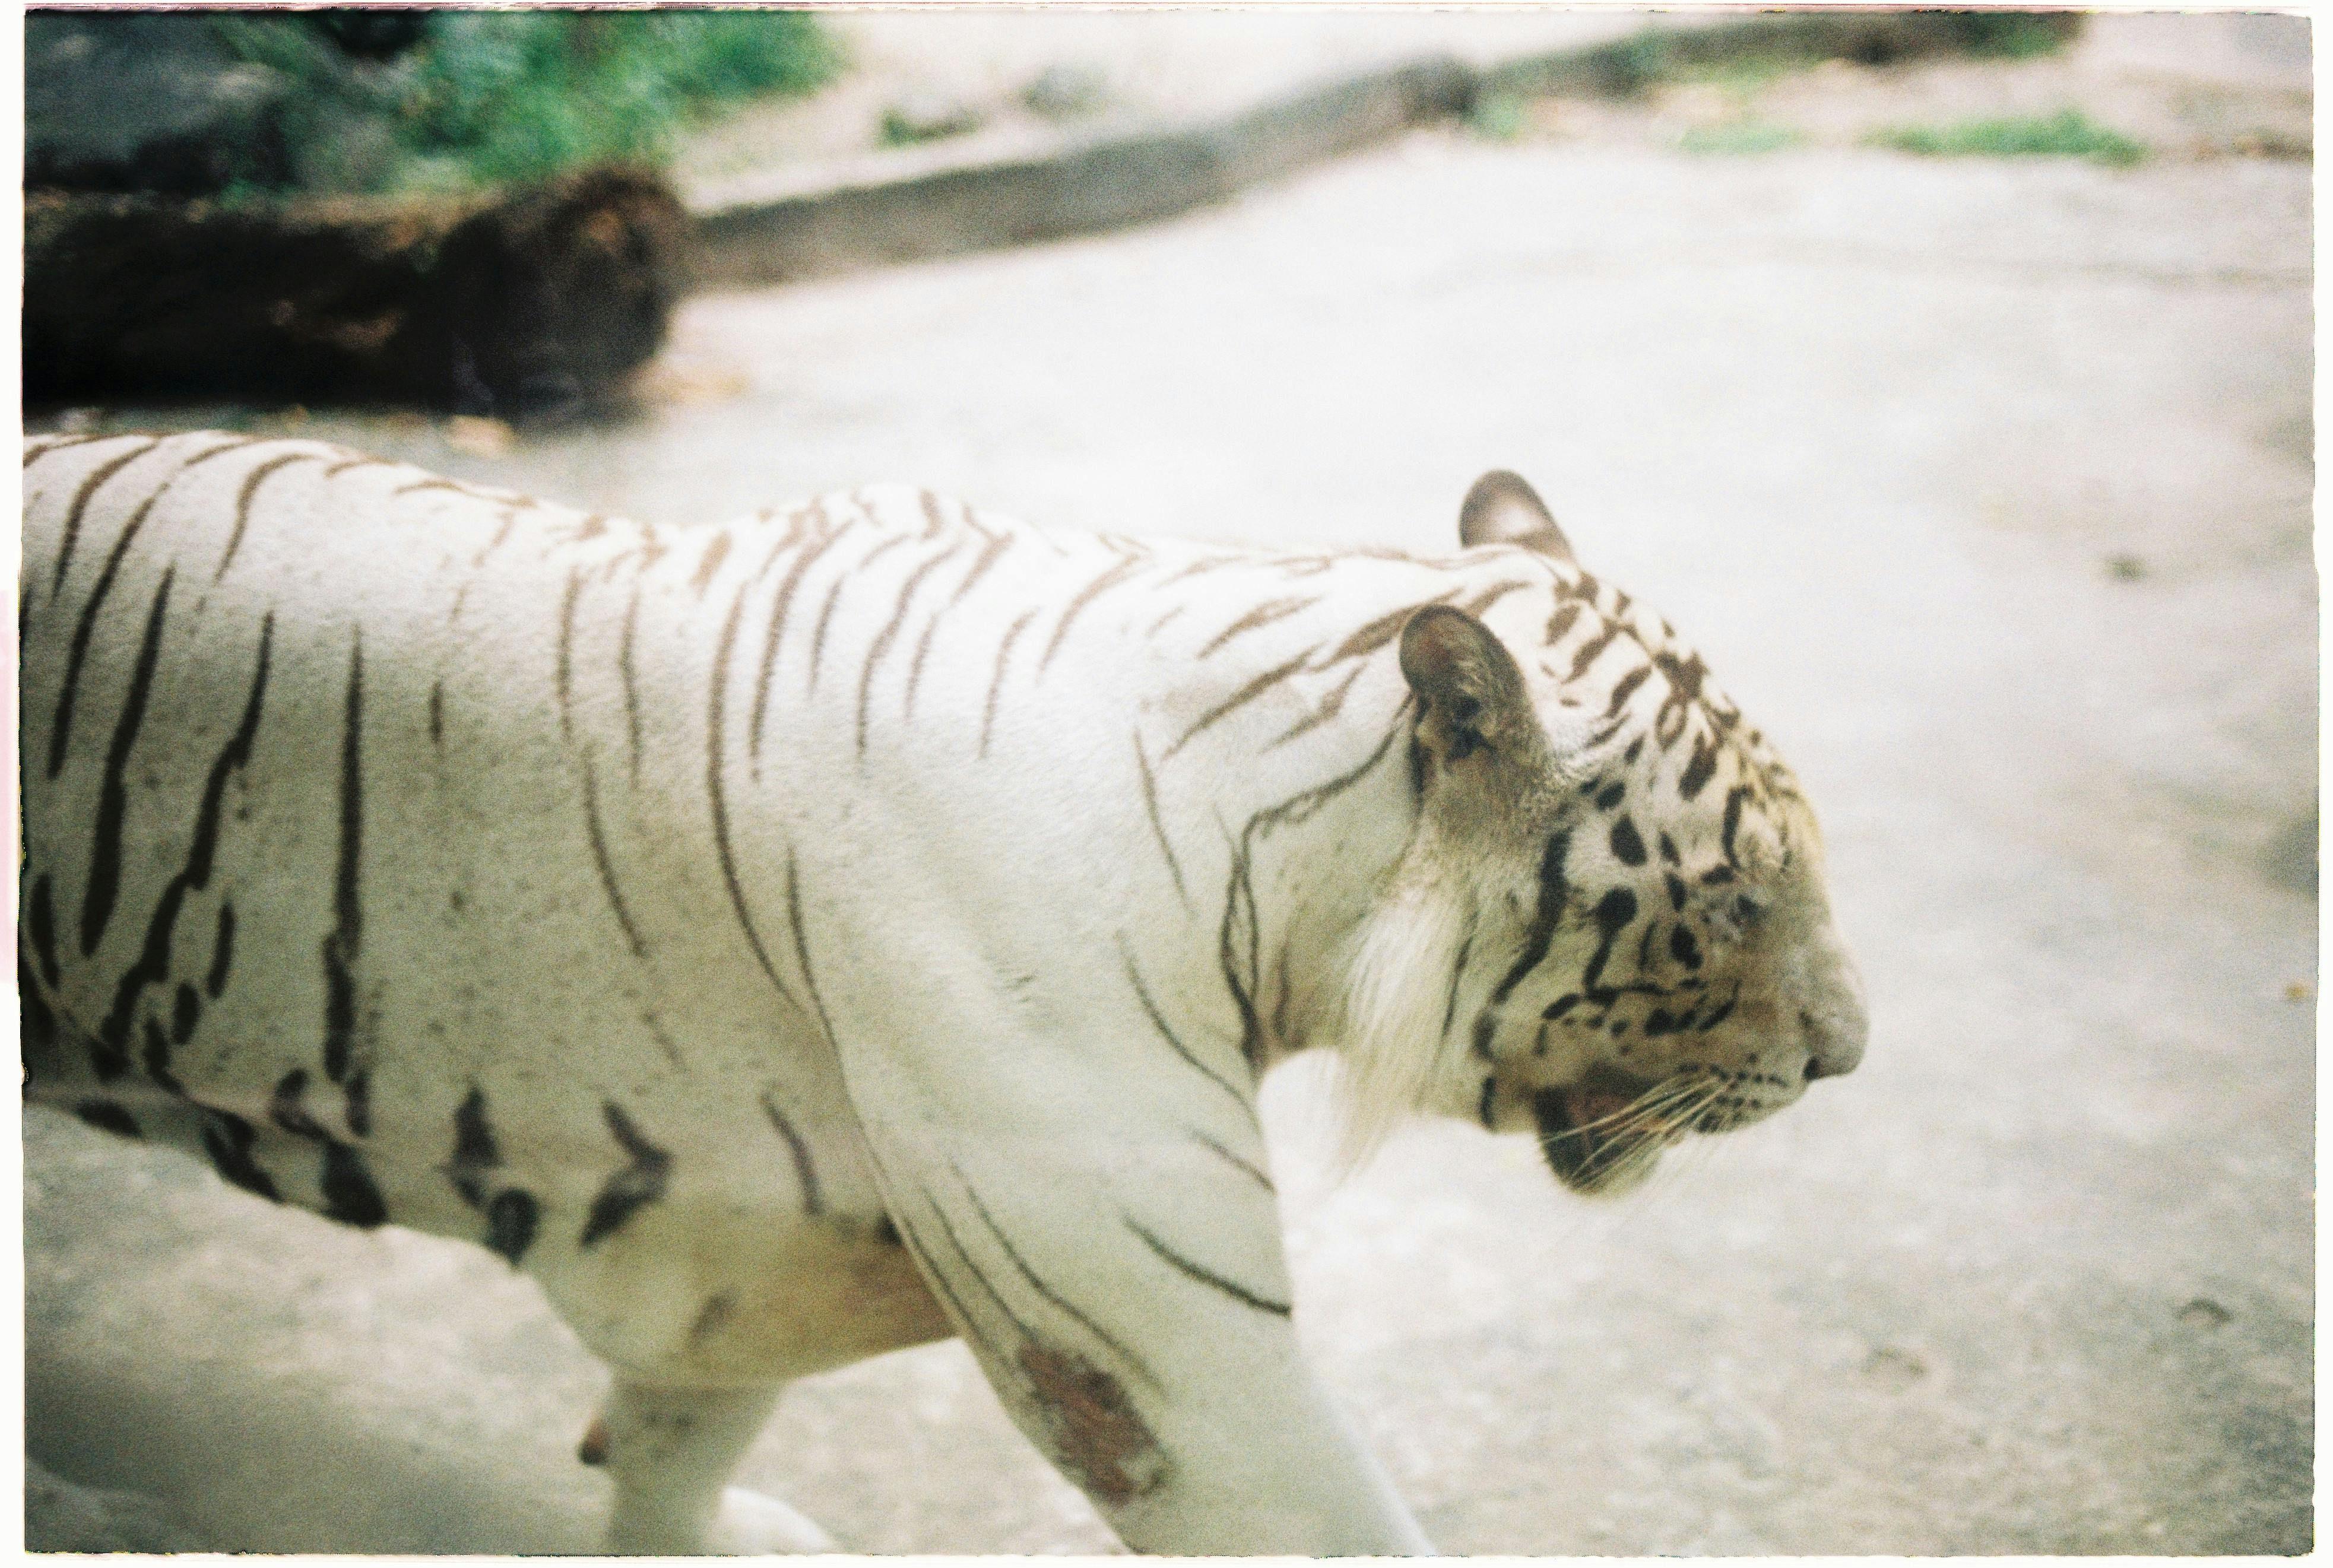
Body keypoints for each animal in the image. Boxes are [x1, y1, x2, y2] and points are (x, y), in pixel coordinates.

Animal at [18, 431, 1866, 1559]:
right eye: (1737, 897)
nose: (1848, 1057)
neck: (1278, 878)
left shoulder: (739, 1220)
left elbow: (676, 1436)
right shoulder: (1169, 1366)